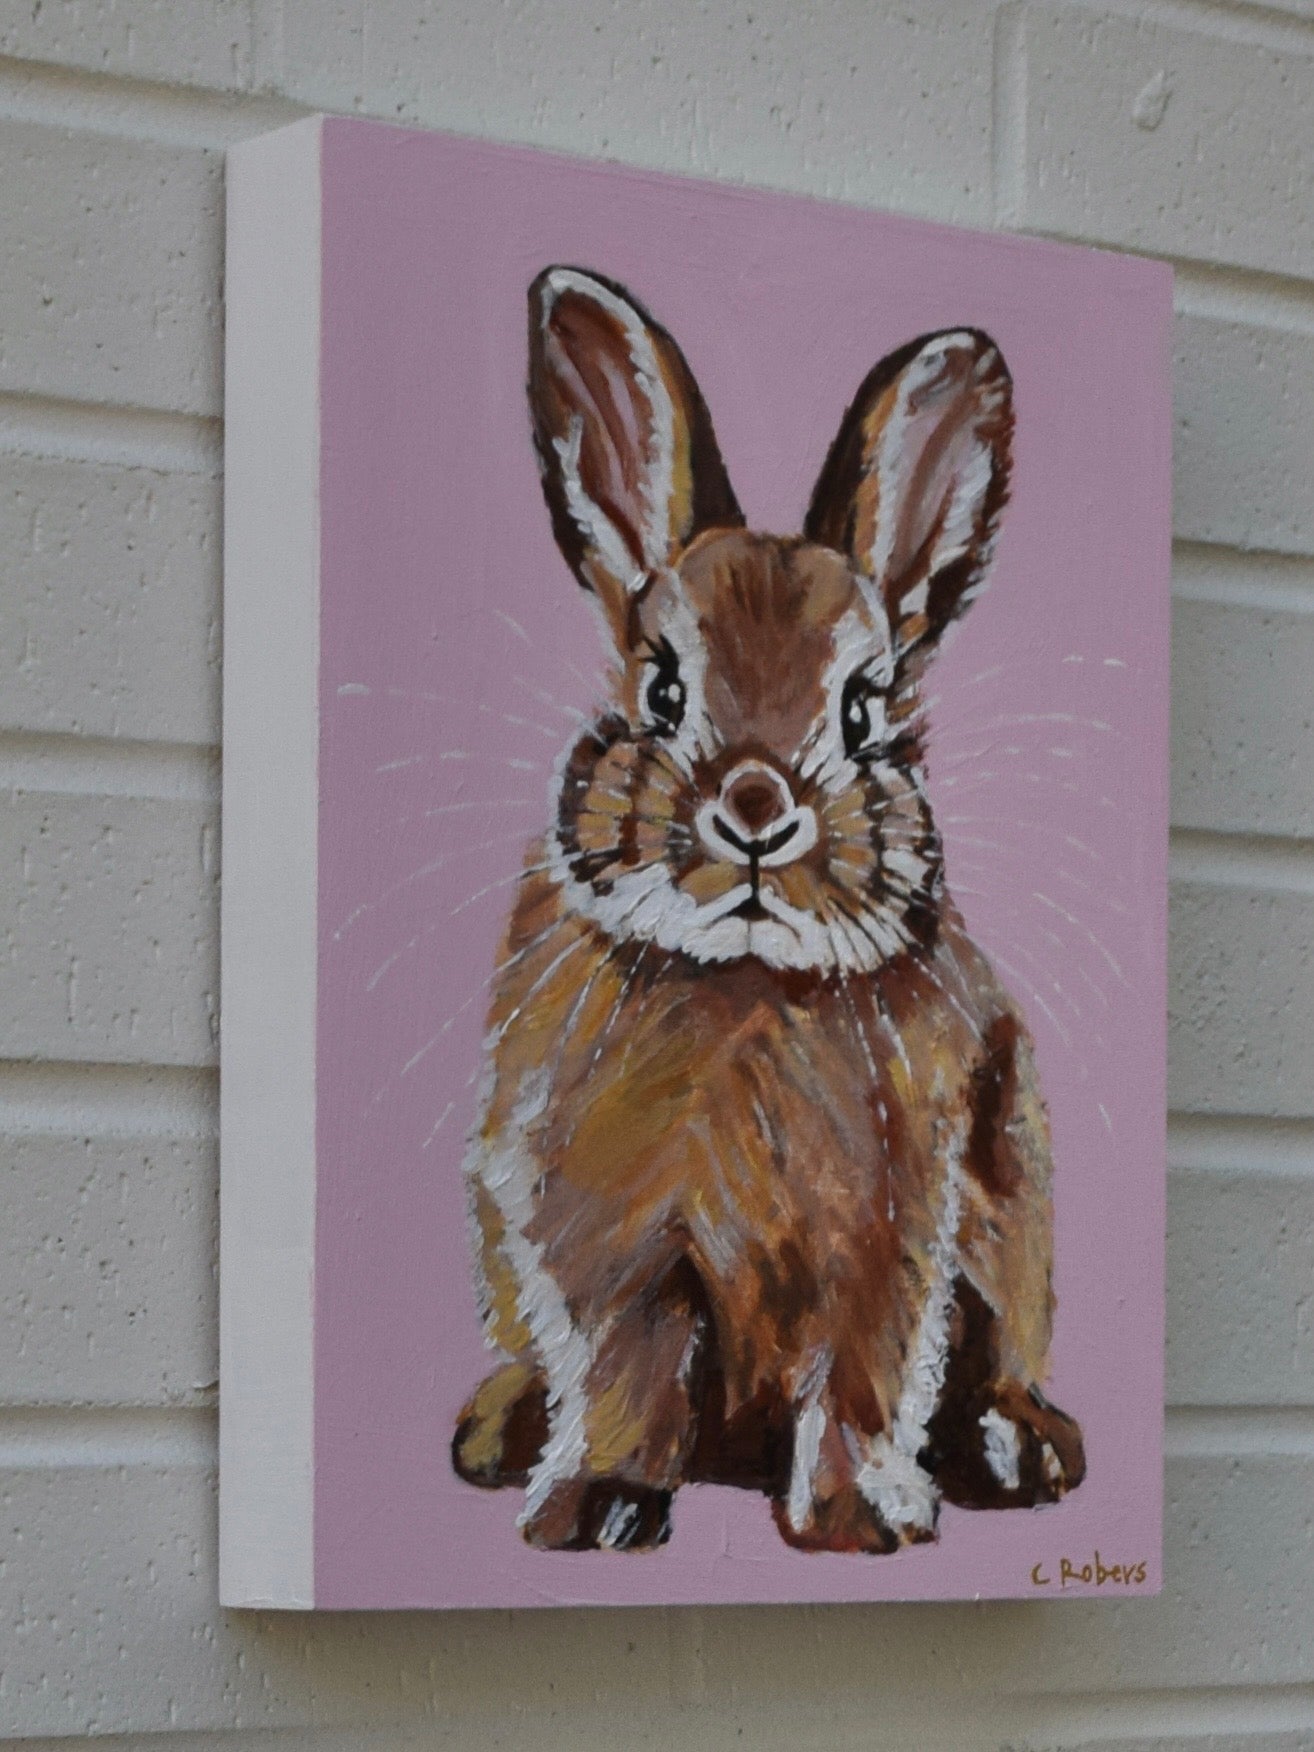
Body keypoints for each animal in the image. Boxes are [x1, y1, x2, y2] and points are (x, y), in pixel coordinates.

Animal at [452, 265, 1086, 1554]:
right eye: (660, 689)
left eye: (864, 709)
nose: (755, 809)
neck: (738, 982)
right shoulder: (598, 1233)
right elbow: (626, 1364)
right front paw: (594, 1506)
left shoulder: (895, 1231)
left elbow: (863, 1373)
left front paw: (858, 1522)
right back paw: (500, 1429)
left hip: (1016, 1205)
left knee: (1001, 1347)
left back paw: (1019, 1446)